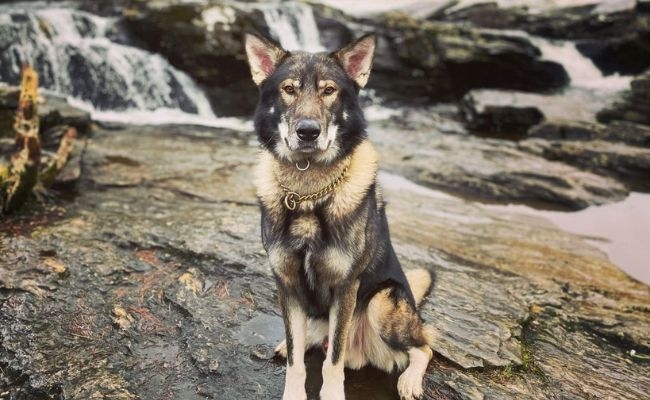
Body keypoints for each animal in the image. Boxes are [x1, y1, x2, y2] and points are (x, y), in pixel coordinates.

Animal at [244, 32, 436, 400]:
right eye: (288, 89)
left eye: (329, 90)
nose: (307, 132)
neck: (308, 193)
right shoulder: (287, 285)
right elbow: (296, 359)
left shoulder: (345, 287)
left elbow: (333, 362)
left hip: (381, 303)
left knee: (424, 344)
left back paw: (409, 381)